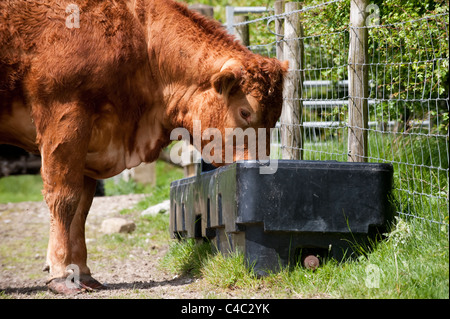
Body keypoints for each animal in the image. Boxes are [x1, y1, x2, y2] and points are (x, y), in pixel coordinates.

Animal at [0, 0, 288, 296]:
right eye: (245, 112)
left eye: (275, 118)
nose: (261, 165)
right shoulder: (64, 119)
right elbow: (64, 199)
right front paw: (61, 273)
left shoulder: (91, 143)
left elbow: (81, 208)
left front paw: (82, 272)